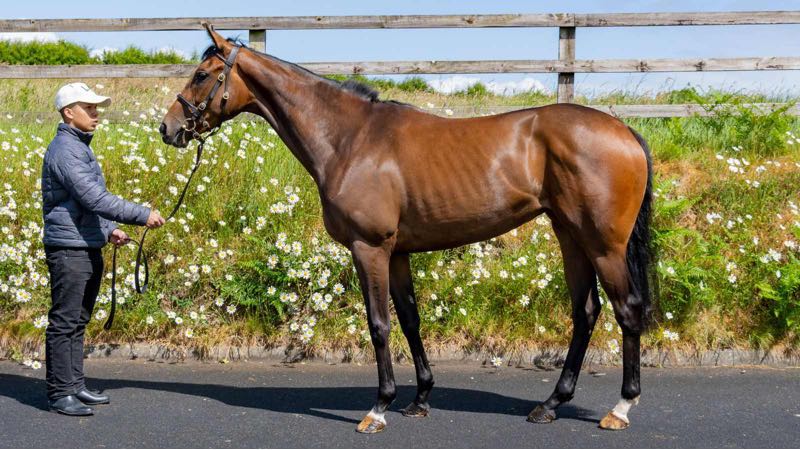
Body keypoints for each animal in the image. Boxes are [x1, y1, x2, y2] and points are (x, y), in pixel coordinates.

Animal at [159, 24, 654, 433]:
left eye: (201, 75)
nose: (168, 128)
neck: (350, 139)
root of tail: (624, 131)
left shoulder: (370, 248)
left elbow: (379, 324)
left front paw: (379, 407)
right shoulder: (397, 253)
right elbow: (411, 320)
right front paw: (419, 399)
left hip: (604, 245)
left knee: (626, 311)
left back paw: (621, 408)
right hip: (571, 236)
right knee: (585, 312)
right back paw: (550, 404)